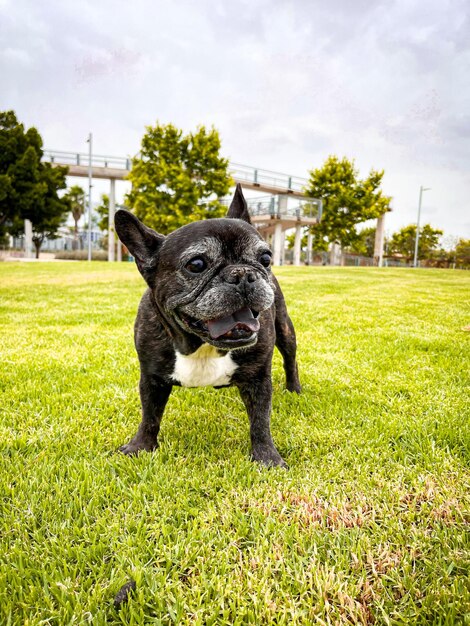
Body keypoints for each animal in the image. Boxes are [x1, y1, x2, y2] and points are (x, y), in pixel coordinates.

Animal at [115, 183, 302, 466]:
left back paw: (294, 389)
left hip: (285, 329)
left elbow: (260, 421)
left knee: (290, 358)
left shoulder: (258, 378)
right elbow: (150, 415)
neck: (201, 345)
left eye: (266, 259)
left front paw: (267, 458)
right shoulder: (151, 377)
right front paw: (140, 447)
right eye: (196, 264)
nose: (243, 274)